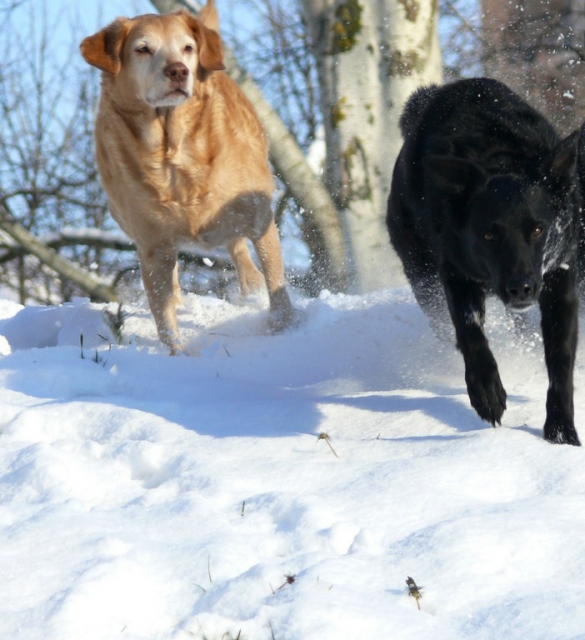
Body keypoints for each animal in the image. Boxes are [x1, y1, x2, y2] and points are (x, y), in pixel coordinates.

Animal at [386, 77, 580, 444]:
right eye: (489, 235)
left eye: (538, 229)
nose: (521, 289)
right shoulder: (455, 273)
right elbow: (470, 332)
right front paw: (486, 391)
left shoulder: (558, 278)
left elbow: (561, 361)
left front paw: (561, 431)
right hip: (422, 278)